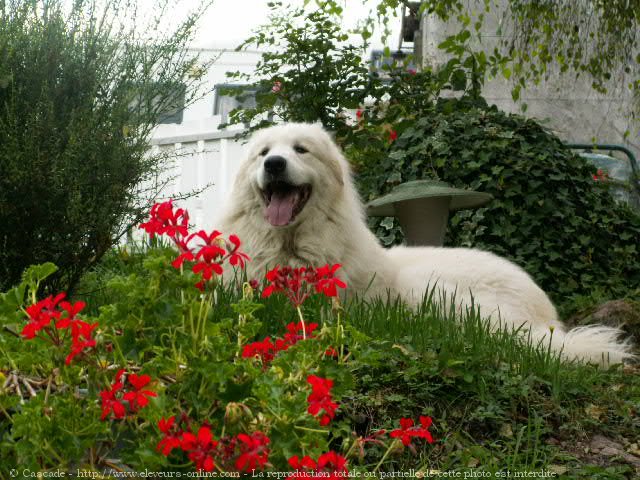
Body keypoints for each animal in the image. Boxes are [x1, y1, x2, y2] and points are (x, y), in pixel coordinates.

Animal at [218, 122, 632, 366]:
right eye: (263, 153)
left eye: (301, 150)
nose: (274, 164)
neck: (290, 245)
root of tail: (549, 318)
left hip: (429, 292)